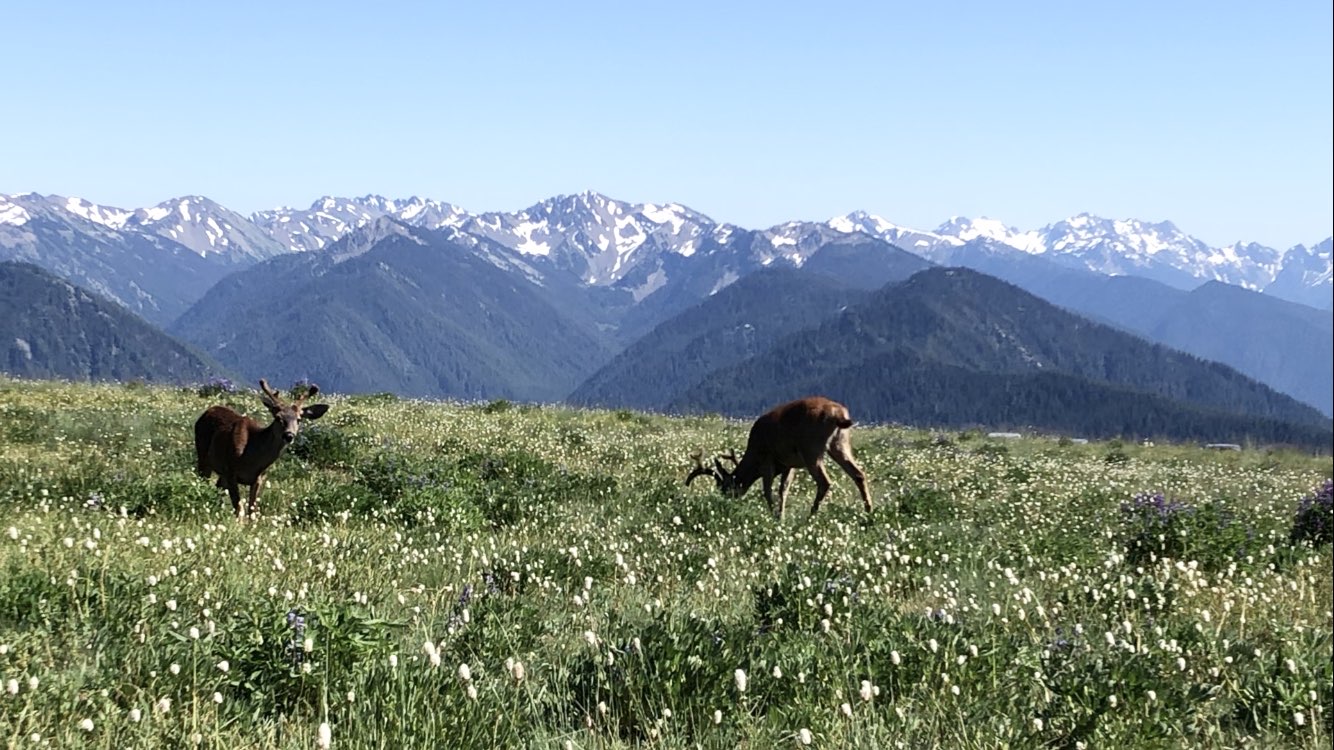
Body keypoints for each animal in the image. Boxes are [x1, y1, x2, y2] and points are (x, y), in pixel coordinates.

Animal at [193, 376, 328, 517]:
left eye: (299, 419)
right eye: (278, 417)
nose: (289, 435)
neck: (251, 458)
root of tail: (207, 411)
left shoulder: (259, 478)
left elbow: (252, 512)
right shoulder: (231, 471)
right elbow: (240, 510)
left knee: (217, 487)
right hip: (203, 457)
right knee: (202, 482)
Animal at [688, 397, 875, 520]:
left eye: (724, 488)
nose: (727, 504)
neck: (753, 454)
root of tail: (838, 415)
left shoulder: (767, 459)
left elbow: (767, 490)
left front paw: (773, 515)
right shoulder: (789, 465)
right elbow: (783, 490)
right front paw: (781, 516)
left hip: (811, 449)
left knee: (825, 482)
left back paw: (811, 516)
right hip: (840, 444)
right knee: (858, 474)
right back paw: (869, 510)